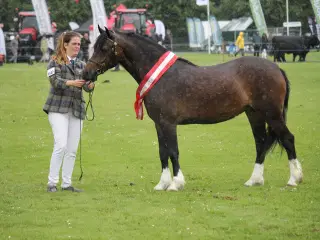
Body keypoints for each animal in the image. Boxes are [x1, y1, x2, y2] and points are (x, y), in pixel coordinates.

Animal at [82, 26, 302, 191]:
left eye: (104, 47)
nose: (86, 73)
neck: (162, 76)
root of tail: (276, 68)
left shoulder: (169, 123)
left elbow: (173, 151)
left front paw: (176, 183)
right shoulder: (159, 124)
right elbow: (163, 152)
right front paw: (162, 183)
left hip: (272, 114)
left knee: (287, 139)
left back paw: (294, 179)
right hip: (254, 114)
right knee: (261, 143)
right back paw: (254, 180)